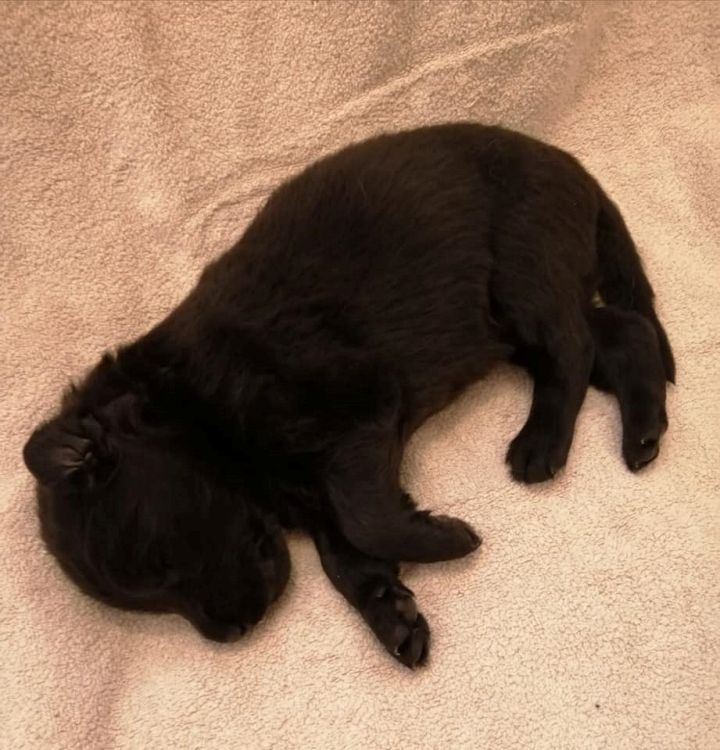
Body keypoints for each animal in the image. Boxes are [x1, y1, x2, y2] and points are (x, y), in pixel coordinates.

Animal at [23, 123, 674, 667]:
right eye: (152, 596)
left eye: (161, 562)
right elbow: (343, 553)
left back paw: (540, 444)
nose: (232, 633)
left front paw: (444, 537)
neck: (200, 410)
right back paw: (643, 433)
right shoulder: (312, 487)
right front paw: (393, 613)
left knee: (574, 349)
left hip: (524, 270)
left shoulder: (358, 417)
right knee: (624, 334)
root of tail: (573, 166)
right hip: (516, 319)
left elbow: (366, 521)